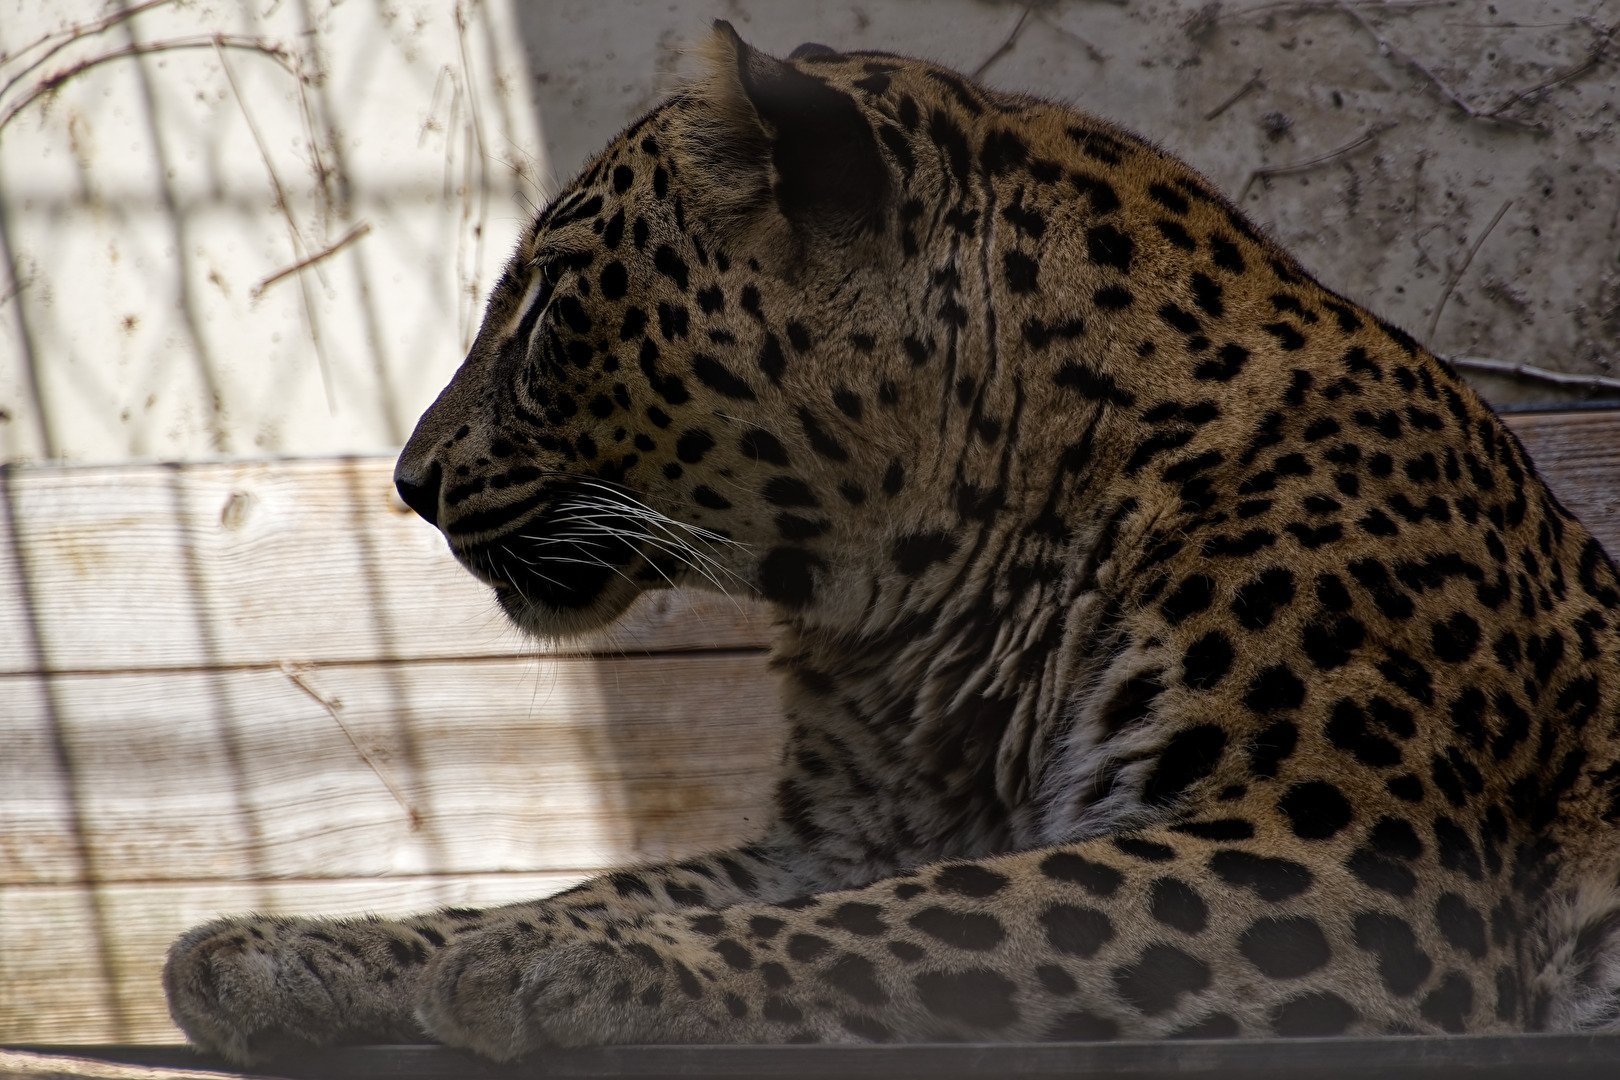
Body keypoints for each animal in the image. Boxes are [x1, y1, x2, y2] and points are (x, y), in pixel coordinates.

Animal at [164, 22, 1620, 1062]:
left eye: (548, 310)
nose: (409, 482)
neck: (932, 602)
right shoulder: (841, 837)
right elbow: (617, 883)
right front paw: (301, 951)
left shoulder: (1339, 865)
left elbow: (939, 921)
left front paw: (572, 969)